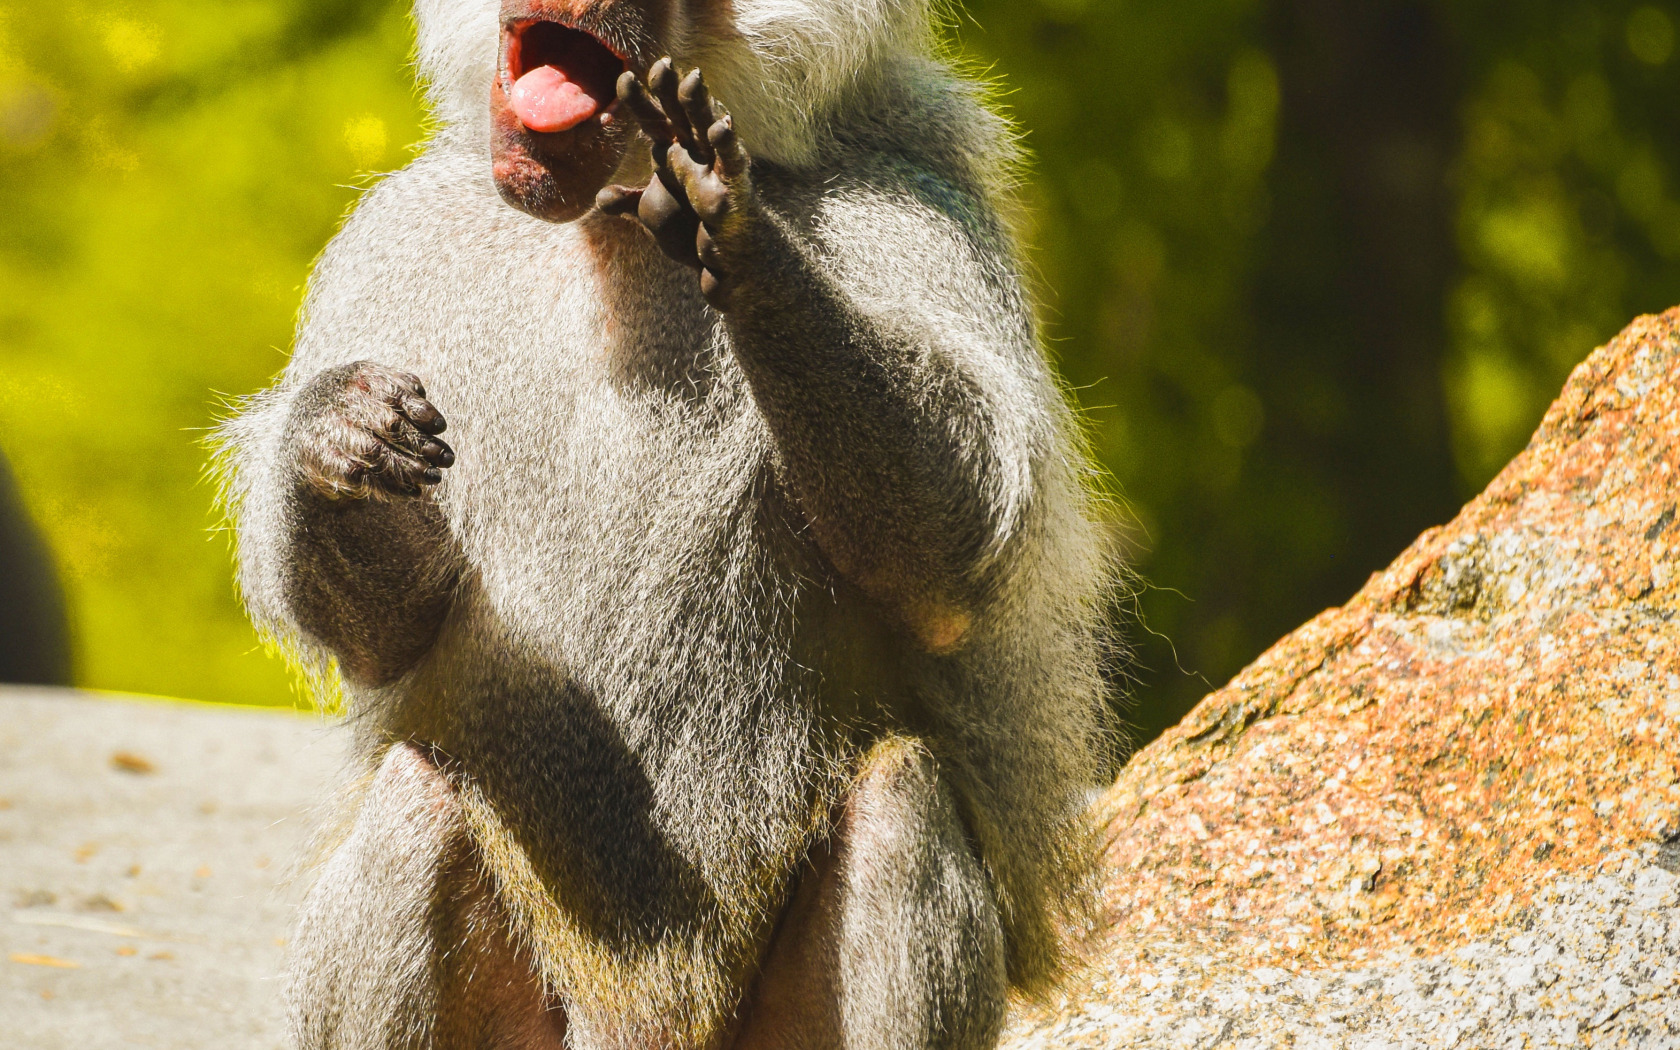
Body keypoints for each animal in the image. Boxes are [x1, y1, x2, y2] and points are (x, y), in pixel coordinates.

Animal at [216, 0, 1122, 1041]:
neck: (607, 228)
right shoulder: (402, 240)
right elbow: (385, 634)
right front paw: (334, 432)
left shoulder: (913, 210)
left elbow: (954, 555)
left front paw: (735, 232)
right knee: (415, 808)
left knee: (903, 802)